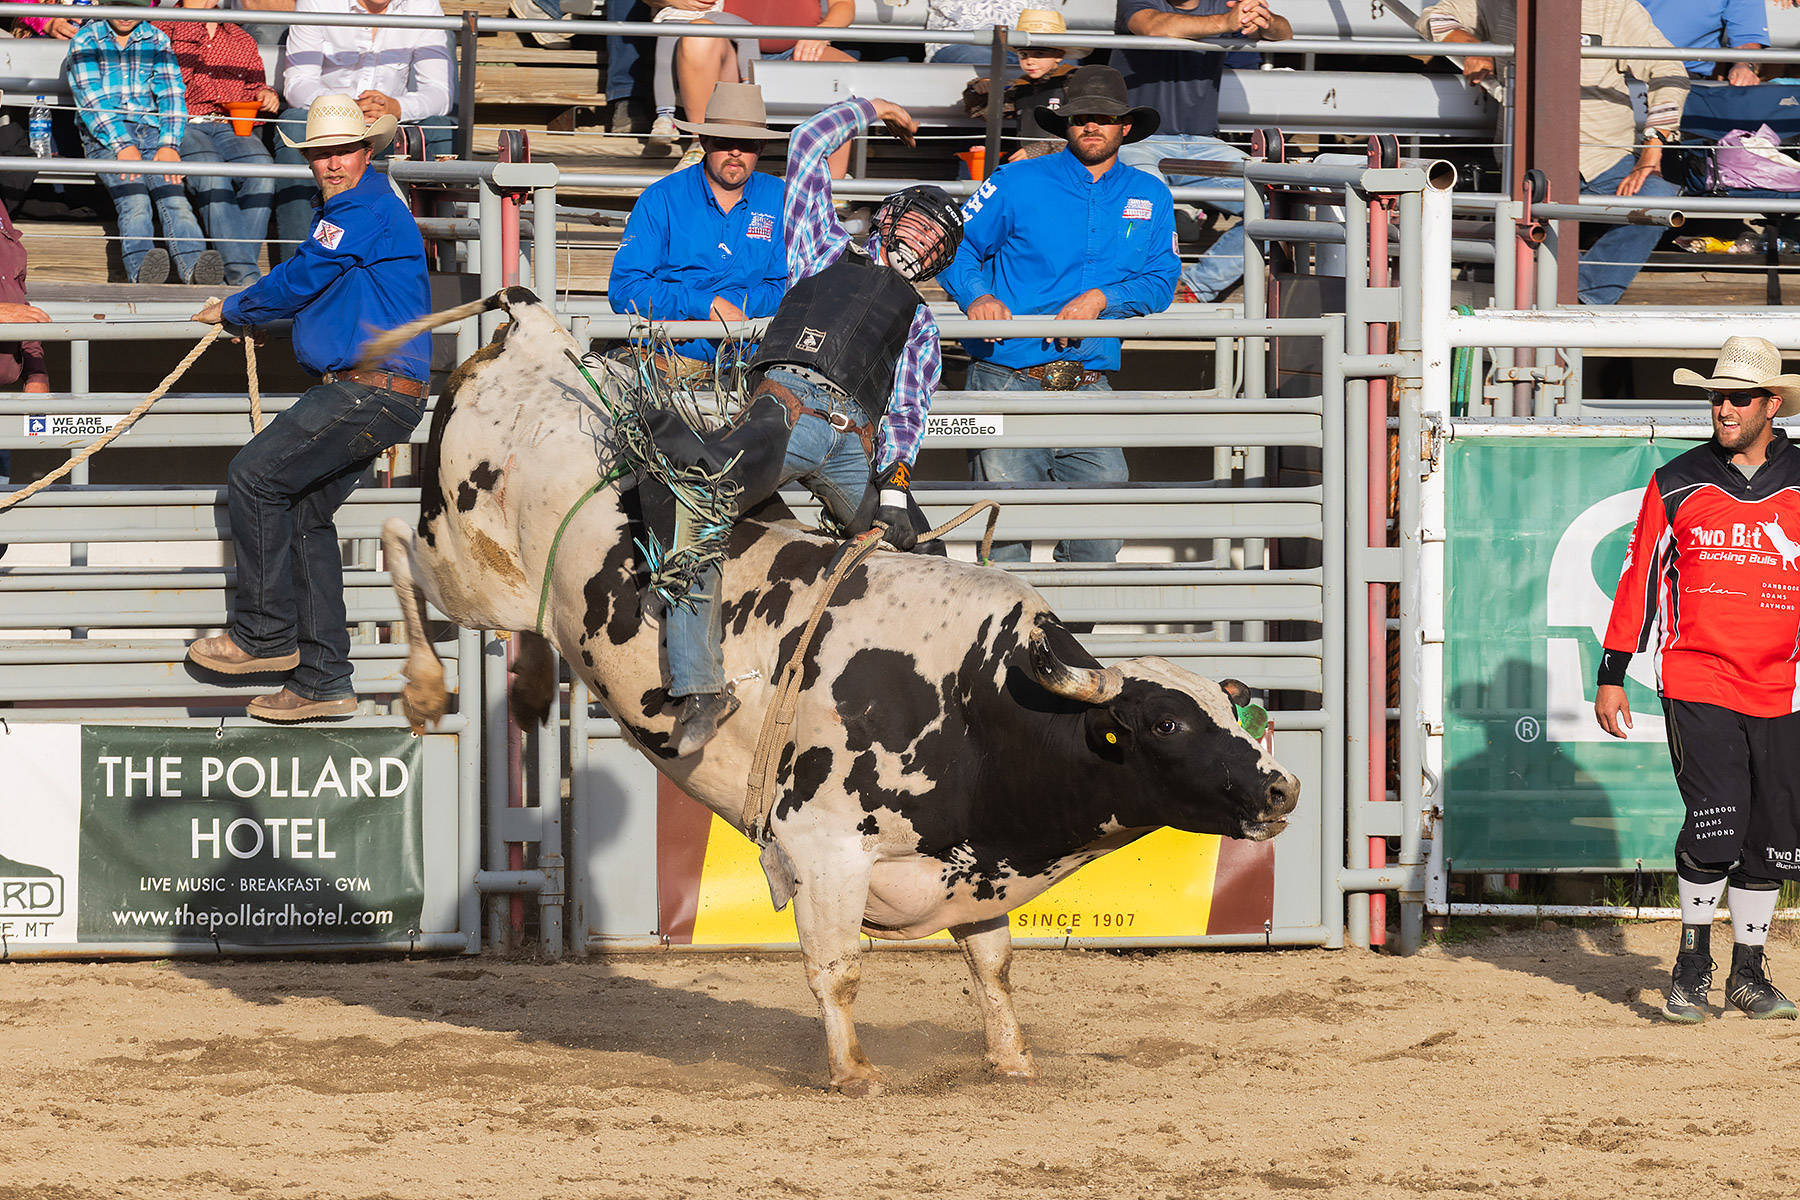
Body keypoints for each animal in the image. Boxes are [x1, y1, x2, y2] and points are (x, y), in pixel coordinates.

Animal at [377, 289, 1301, 1096]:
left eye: (1235, 715)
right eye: (1166, 723)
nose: (1281, 787)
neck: (980, 699)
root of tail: (538, 339)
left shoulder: (976, 870)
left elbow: (994, 969)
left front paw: (1011, 1061)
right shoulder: (823, 849)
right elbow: (838, 970)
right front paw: (854, 1073)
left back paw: (532, 682)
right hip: (463, 558)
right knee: (394, 540)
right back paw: (423, 689)